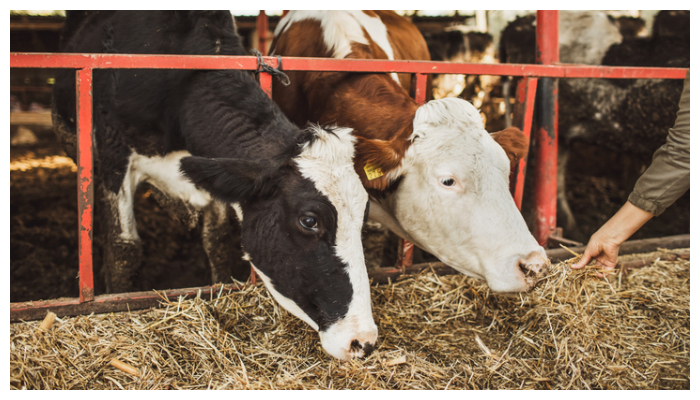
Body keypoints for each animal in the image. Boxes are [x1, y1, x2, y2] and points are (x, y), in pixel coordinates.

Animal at [51, 11, 376, 361]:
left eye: (364, 214)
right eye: (309, 220)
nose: (363, 341)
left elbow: (218, 241)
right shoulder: (113, 152)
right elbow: (124, 248)